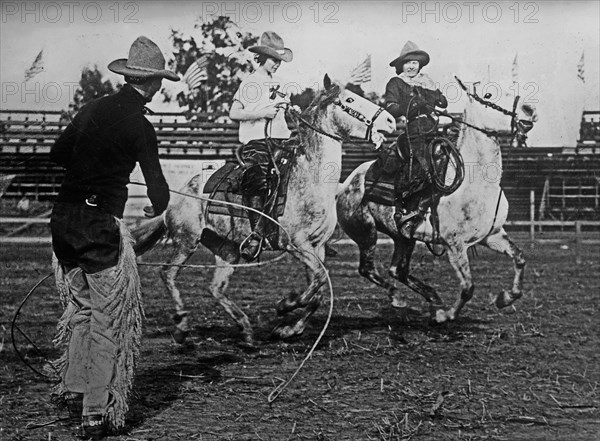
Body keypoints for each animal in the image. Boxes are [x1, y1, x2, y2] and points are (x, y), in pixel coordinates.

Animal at [133, 75, 396, 344]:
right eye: (349, 100)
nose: (390, 120)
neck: (311, 179)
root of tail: (178, 195)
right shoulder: (296, 244)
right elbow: (319, 281)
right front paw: (286, 305)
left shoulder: (318, 246)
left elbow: (319, 290)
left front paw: (290, 328)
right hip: (187, 240)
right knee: (167, 273)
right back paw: (183, 324)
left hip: (226, 249)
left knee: (215, 287)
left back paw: (246, 330)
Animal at [336, 83, 536, 324]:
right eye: (488, 95)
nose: (529, 109)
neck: (474, 184)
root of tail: (345, 184)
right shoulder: (455, 245)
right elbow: (468, 287)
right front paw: (447, 315)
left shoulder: (492, 235)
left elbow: (520, 258)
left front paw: (505, 298)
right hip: (366, 232)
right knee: (367, 269)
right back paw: (400, 299)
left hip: (403, 237)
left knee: (398, 271)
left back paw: (432, 299)